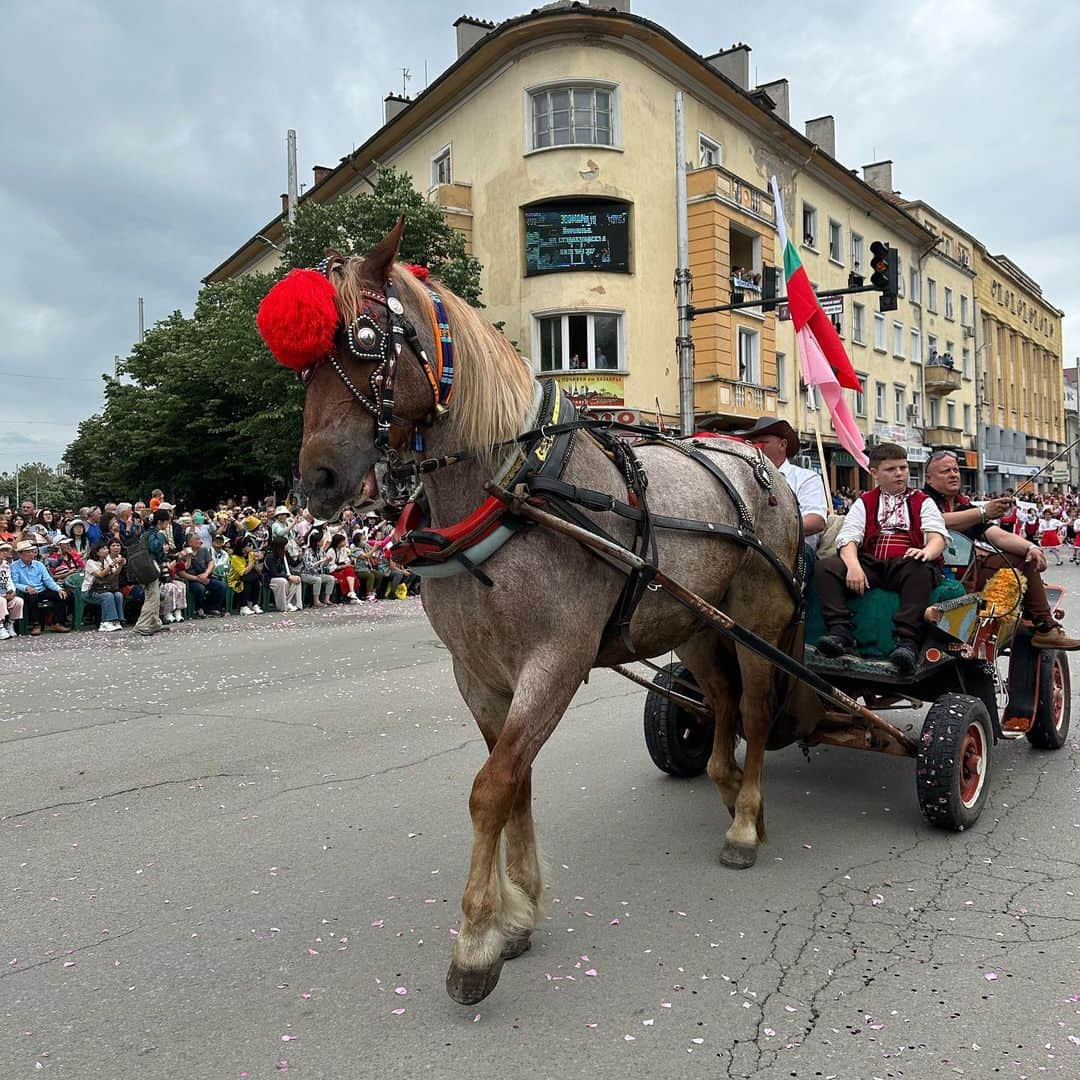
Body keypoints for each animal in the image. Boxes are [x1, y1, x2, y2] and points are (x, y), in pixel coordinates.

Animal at [261, 223, 803, 1006]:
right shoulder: (480, 673)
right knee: (722, 702)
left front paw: (477, 940)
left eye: (366, 338)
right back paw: (728, 787)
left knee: (757, 711)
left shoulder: (555, 661)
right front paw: (517, 914)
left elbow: (491, 788)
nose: (319, 480)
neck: (515, 489)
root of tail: (764, 467)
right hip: (697, 626)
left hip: (756, 623)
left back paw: (745, 822)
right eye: (302, 368)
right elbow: (512, 781)